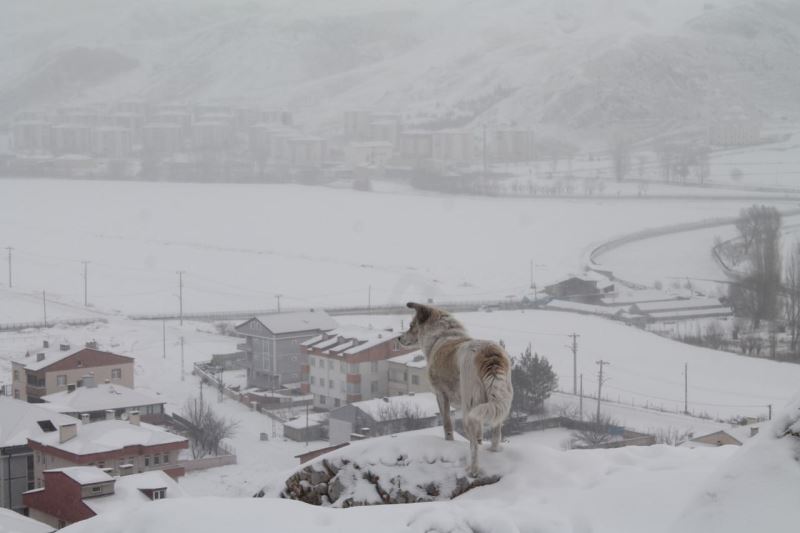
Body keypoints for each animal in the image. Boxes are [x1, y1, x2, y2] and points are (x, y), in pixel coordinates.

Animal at [398, 302, 516, 476]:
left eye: (411, 325)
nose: (398, 338)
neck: (442, 336)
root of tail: (489, 353)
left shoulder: (441, 395)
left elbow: (447, 425)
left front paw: (449, 443)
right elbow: (480, 436)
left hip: (469, 410)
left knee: (473, 446)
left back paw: (472, 470)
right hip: (498, 404)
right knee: (495, 435)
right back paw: (492, 453)